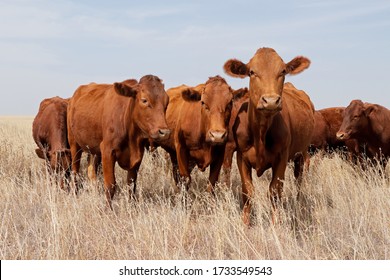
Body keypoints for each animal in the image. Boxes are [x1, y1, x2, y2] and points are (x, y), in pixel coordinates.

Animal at [224, 47, 316, 225]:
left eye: (283, 71)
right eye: (252, 72)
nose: (271, 101)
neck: (260, 132)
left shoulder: (281, 158)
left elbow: (274, 192)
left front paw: (275, 225)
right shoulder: (241, 157)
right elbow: (248, 192)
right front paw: (245, 224)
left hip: (301, 154)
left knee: (299, 180)